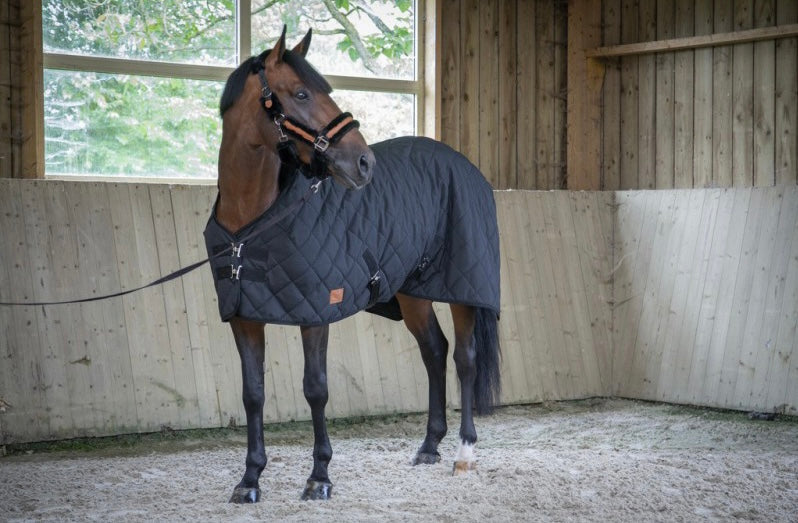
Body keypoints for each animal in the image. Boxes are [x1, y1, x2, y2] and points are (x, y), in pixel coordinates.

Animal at [209, 27, 501, 503]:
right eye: (302, 93)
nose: (364, 163)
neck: (251, 224)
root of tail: (466, 166)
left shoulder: (316, 314)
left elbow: (316, 389)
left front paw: (319, 477)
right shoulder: (244, 318)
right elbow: (253, 394)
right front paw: (250, 480)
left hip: (464, 290)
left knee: (465, 358)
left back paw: (464, 453)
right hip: (413, 292)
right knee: (434, 351)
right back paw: (429, 446)